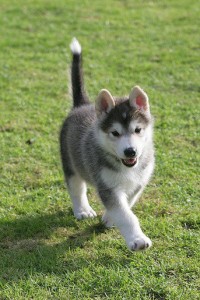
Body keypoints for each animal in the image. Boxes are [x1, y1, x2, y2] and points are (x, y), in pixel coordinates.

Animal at [59, 38, 155, 252]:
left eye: (137, 130)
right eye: (115, 133)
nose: (130, 151)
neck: (126, 168)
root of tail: (81, 105)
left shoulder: (138, 183)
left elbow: (126, 205)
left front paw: (109, 218)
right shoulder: (107, 186)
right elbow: (126, 215)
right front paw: (137, 240)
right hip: (70, 163)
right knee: (76, 187)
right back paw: (82, 210)